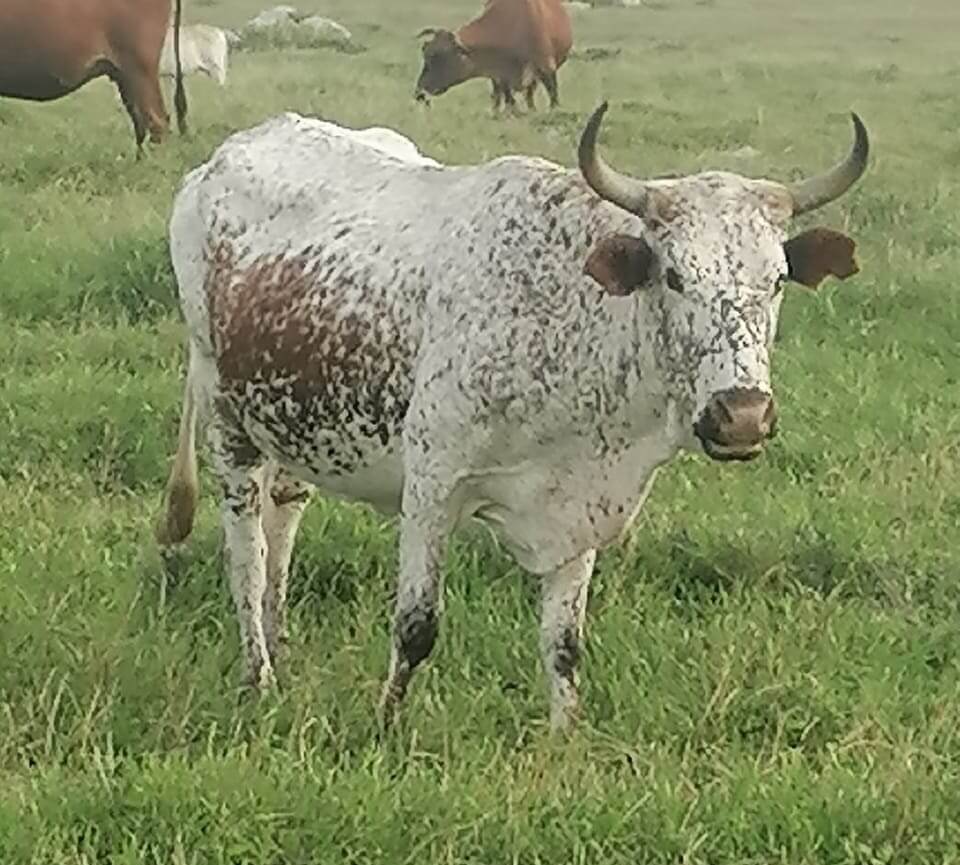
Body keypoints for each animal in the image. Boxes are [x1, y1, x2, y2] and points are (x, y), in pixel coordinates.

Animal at [157, 104, 869, 732]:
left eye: (776, 280)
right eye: (673, 277)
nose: (742, 416)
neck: (568, 317)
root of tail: (215, 163)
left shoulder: (582, 507)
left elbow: (563, 642)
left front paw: (565, 735)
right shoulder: (431, 488)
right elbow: (415, 627)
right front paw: (386, 724)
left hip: (293, 422)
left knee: (284, 515)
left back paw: (279, 641)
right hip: (227, 417)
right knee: (246, 547)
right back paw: (258, 671)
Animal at [414, 0, 573, 113]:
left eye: (440, 58)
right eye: (425, 53)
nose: (419, 93)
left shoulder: (546, 67)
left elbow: (553, 96)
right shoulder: (501, 76)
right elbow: (508, 100)